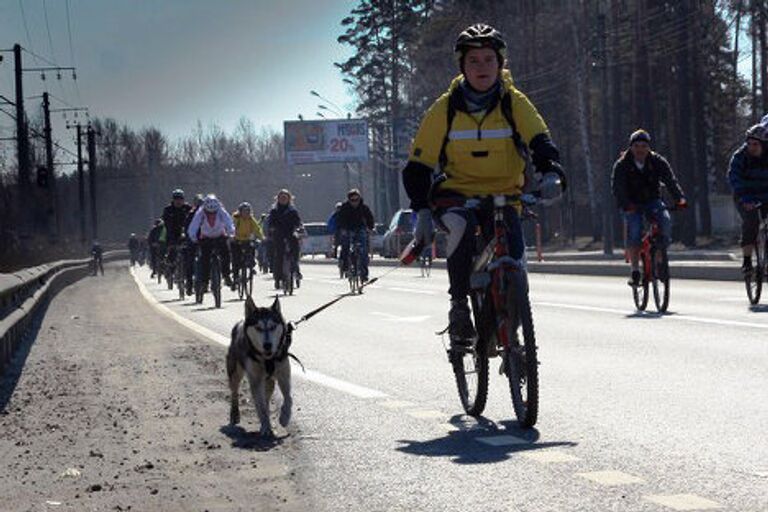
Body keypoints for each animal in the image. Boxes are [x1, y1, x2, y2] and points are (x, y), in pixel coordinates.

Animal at [226, 296, 292, 436]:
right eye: (258, 328)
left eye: (272, 327)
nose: (267, 345)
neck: (267, 359)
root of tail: (239, 323)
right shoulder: (255, 380)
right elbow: (260, 407)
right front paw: (266, 427)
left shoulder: (284, 375)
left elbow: (288, 397)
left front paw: (285, 417)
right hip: (235, 373)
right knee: (234, 392)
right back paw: (235, 414)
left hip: (269, 382)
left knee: (267, 398)